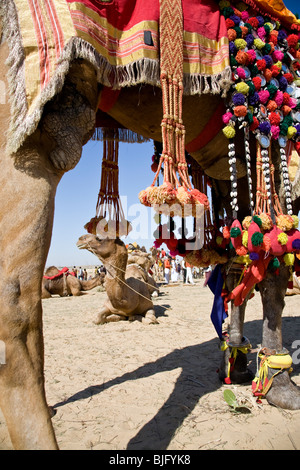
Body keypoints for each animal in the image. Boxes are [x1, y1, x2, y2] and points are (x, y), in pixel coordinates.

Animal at [0, 0, 300, 450]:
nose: (82, 237)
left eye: (105, 234)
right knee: (16, 298)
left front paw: (239, 364)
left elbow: (243, 266)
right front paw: (280, 382)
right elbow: (272, 267)